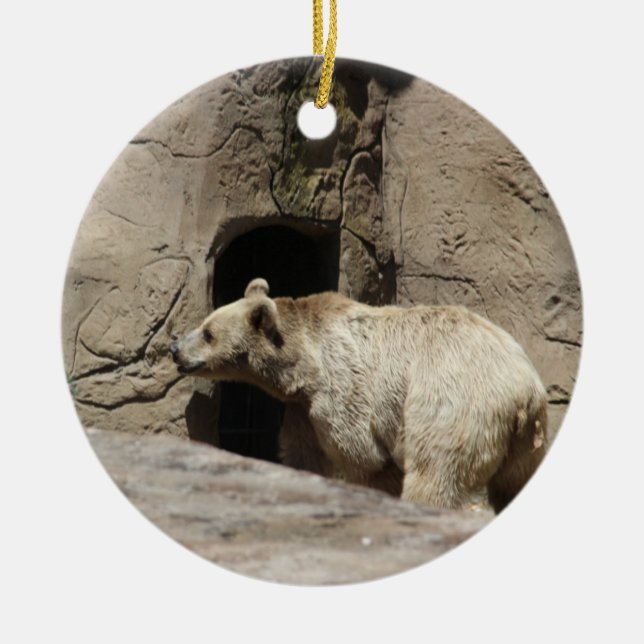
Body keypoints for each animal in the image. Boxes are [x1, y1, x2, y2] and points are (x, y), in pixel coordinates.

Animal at [170, 277, 548, 513]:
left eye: (208, 332)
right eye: (205, 323)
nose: (175, 349)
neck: (303, 364)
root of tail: (524, 391)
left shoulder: (342, 389)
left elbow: (365, 457)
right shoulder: (301, 408)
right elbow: (302, 453)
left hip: (452, 405)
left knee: (434, 472)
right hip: (526, 443)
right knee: (514, 483)